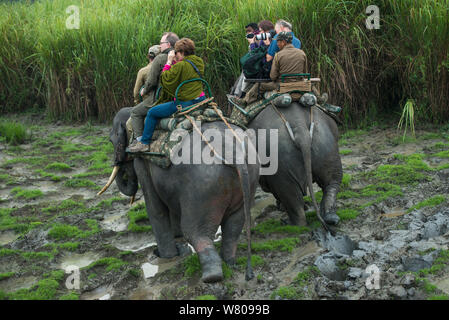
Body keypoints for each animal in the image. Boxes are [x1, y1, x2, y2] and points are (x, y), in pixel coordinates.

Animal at [98, 107, 260, 282]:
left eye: (111, 141)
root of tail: (233, 153)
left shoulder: (142, 162)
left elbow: (155, 209)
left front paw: (166, 256)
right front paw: (178, 241)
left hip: (201, 191)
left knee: (195, 233)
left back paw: (211, 276)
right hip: (249, 180)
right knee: (234, 227)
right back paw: (229, 262)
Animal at [247, 101, 342, 229]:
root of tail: (301, 131)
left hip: (279, 160)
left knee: (288, 194)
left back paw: (288, 223)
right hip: (326, 146)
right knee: (332, 183)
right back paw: (331, 218)